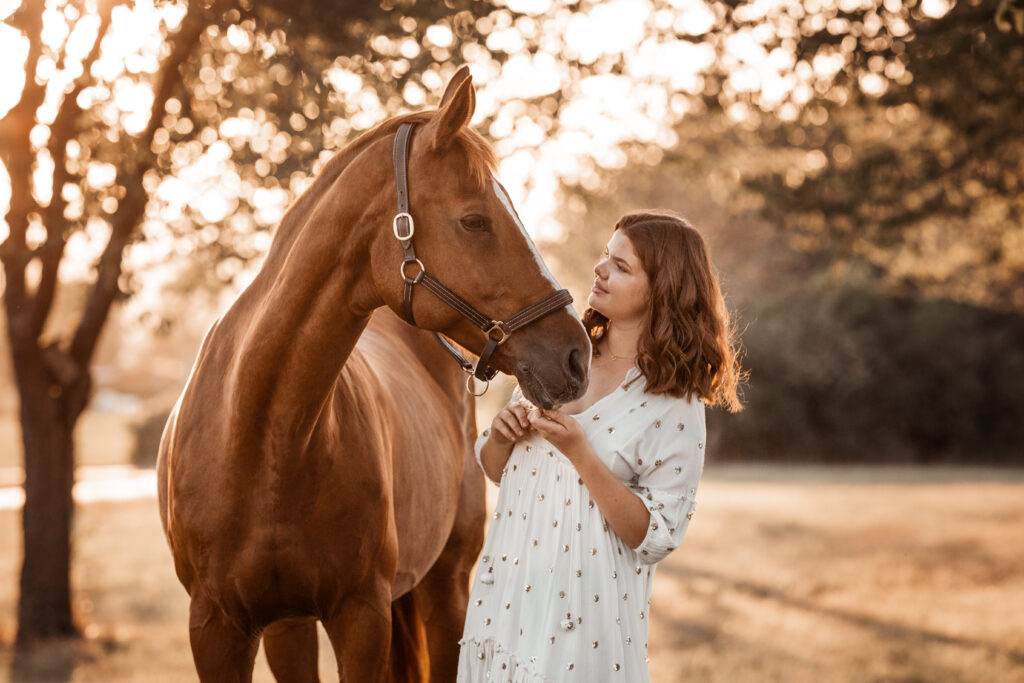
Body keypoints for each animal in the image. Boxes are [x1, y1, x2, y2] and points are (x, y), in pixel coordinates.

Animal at [154, 65, 589, 683]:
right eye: (474, 220)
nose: (577, 354)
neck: (263, 439)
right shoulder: (217, 628)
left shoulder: (362, 616)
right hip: (291, 626)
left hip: (444, 587)